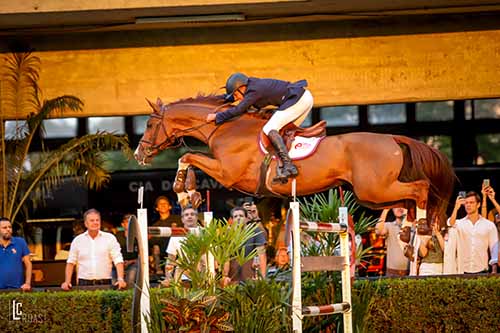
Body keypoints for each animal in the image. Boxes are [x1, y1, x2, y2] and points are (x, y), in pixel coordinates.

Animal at [135, 94, 456, 222]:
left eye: (149, 124)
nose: (138, 153)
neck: (225, 126)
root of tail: (391, 138)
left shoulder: (227, 173)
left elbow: (188, 156)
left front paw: (183, 191)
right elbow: (190, 158)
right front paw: (191, 194)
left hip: (374, 189)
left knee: (421, 189)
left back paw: (421, 231)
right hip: (374, 195)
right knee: (409, 199)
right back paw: (410, 235)